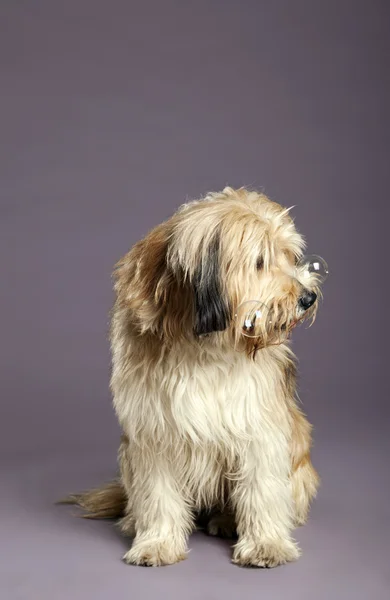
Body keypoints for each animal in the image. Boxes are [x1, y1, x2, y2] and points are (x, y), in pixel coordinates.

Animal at [64, 186, 322, 568]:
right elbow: (157, 494)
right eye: (260, 261)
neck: (201, 338)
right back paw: (134, 520)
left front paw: (266, 544)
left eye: (290, 256)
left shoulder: (259, 424)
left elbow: (261, 487)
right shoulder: (153, 430)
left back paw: (227, 521)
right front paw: (157, 542)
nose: (308, 297)